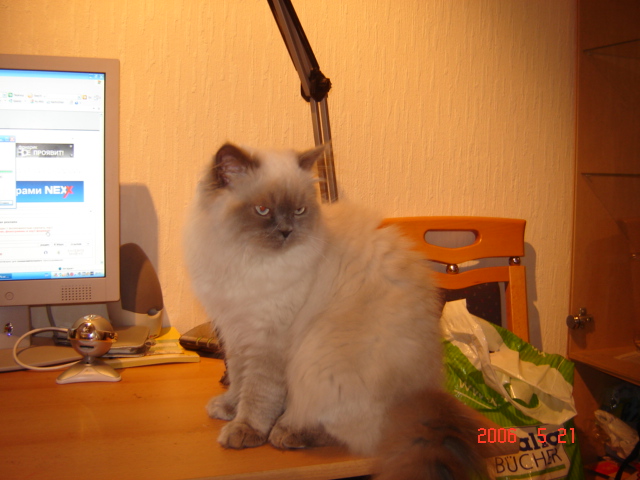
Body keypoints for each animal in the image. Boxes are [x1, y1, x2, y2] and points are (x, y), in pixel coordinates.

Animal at [184, 142, 495, 479]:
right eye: (263, 210)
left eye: (299, 211)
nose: (286, 232)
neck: (244, 259)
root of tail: (424, 394)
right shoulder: (236, 333)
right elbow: (240, 382)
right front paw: (228, 409)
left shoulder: (267, 340)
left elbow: (257, 395)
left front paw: (245, 431)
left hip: (318, 360)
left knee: (351, 433)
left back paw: (286, 432)